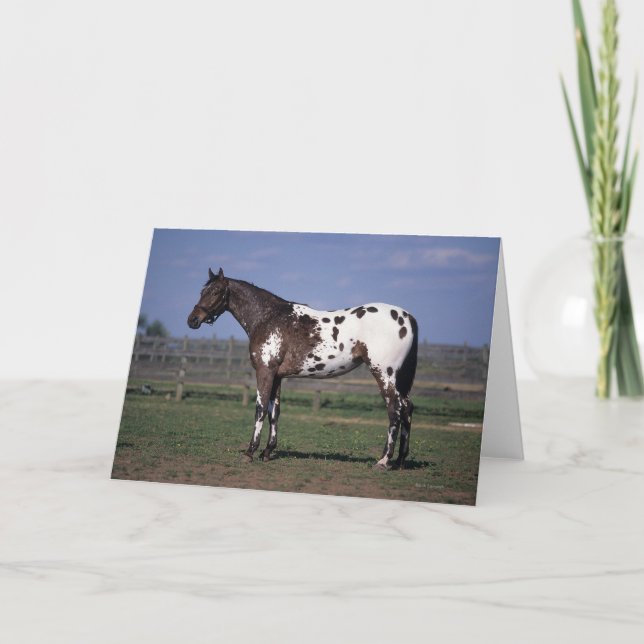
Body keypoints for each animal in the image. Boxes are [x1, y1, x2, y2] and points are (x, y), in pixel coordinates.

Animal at [187, 267, 418, 470]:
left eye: (216, 291)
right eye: (202, 291)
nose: (193, 320)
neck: (268, 317)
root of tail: (407, 317)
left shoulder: (265, 371)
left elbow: (260, 410)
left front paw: (250, 452)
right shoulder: (277, 376)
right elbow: (274, 412)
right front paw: (267, 452)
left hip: (384, 373)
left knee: (395, 409)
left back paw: (383, 461)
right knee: (407, 408)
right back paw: (399, 461)